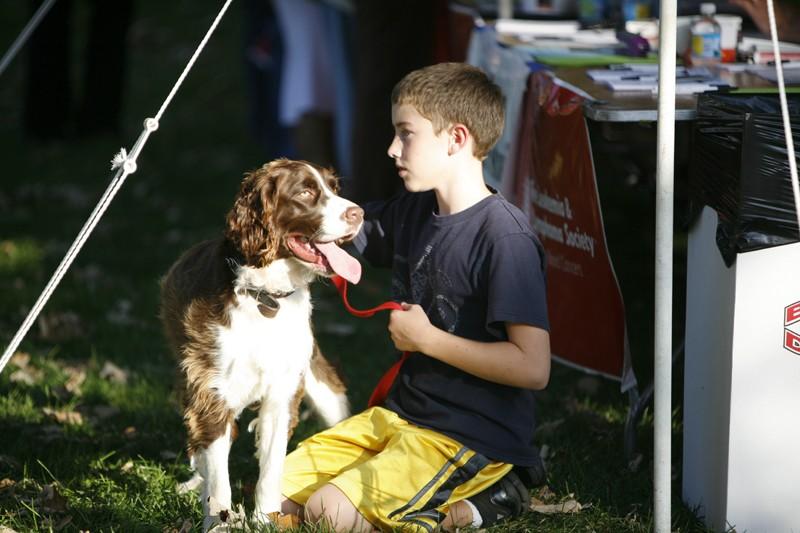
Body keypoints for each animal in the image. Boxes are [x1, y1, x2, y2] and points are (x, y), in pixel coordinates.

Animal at [159, 158, 362, 528]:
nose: (359, 213)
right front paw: (220, 523)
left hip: (323, 387)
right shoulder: (211, 391)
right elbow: (218, 477)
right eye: (305, 192)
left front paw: (267, 520)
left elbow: (270, 468)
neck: (265, 297)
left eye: (333, 187)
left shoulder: (283, 393)